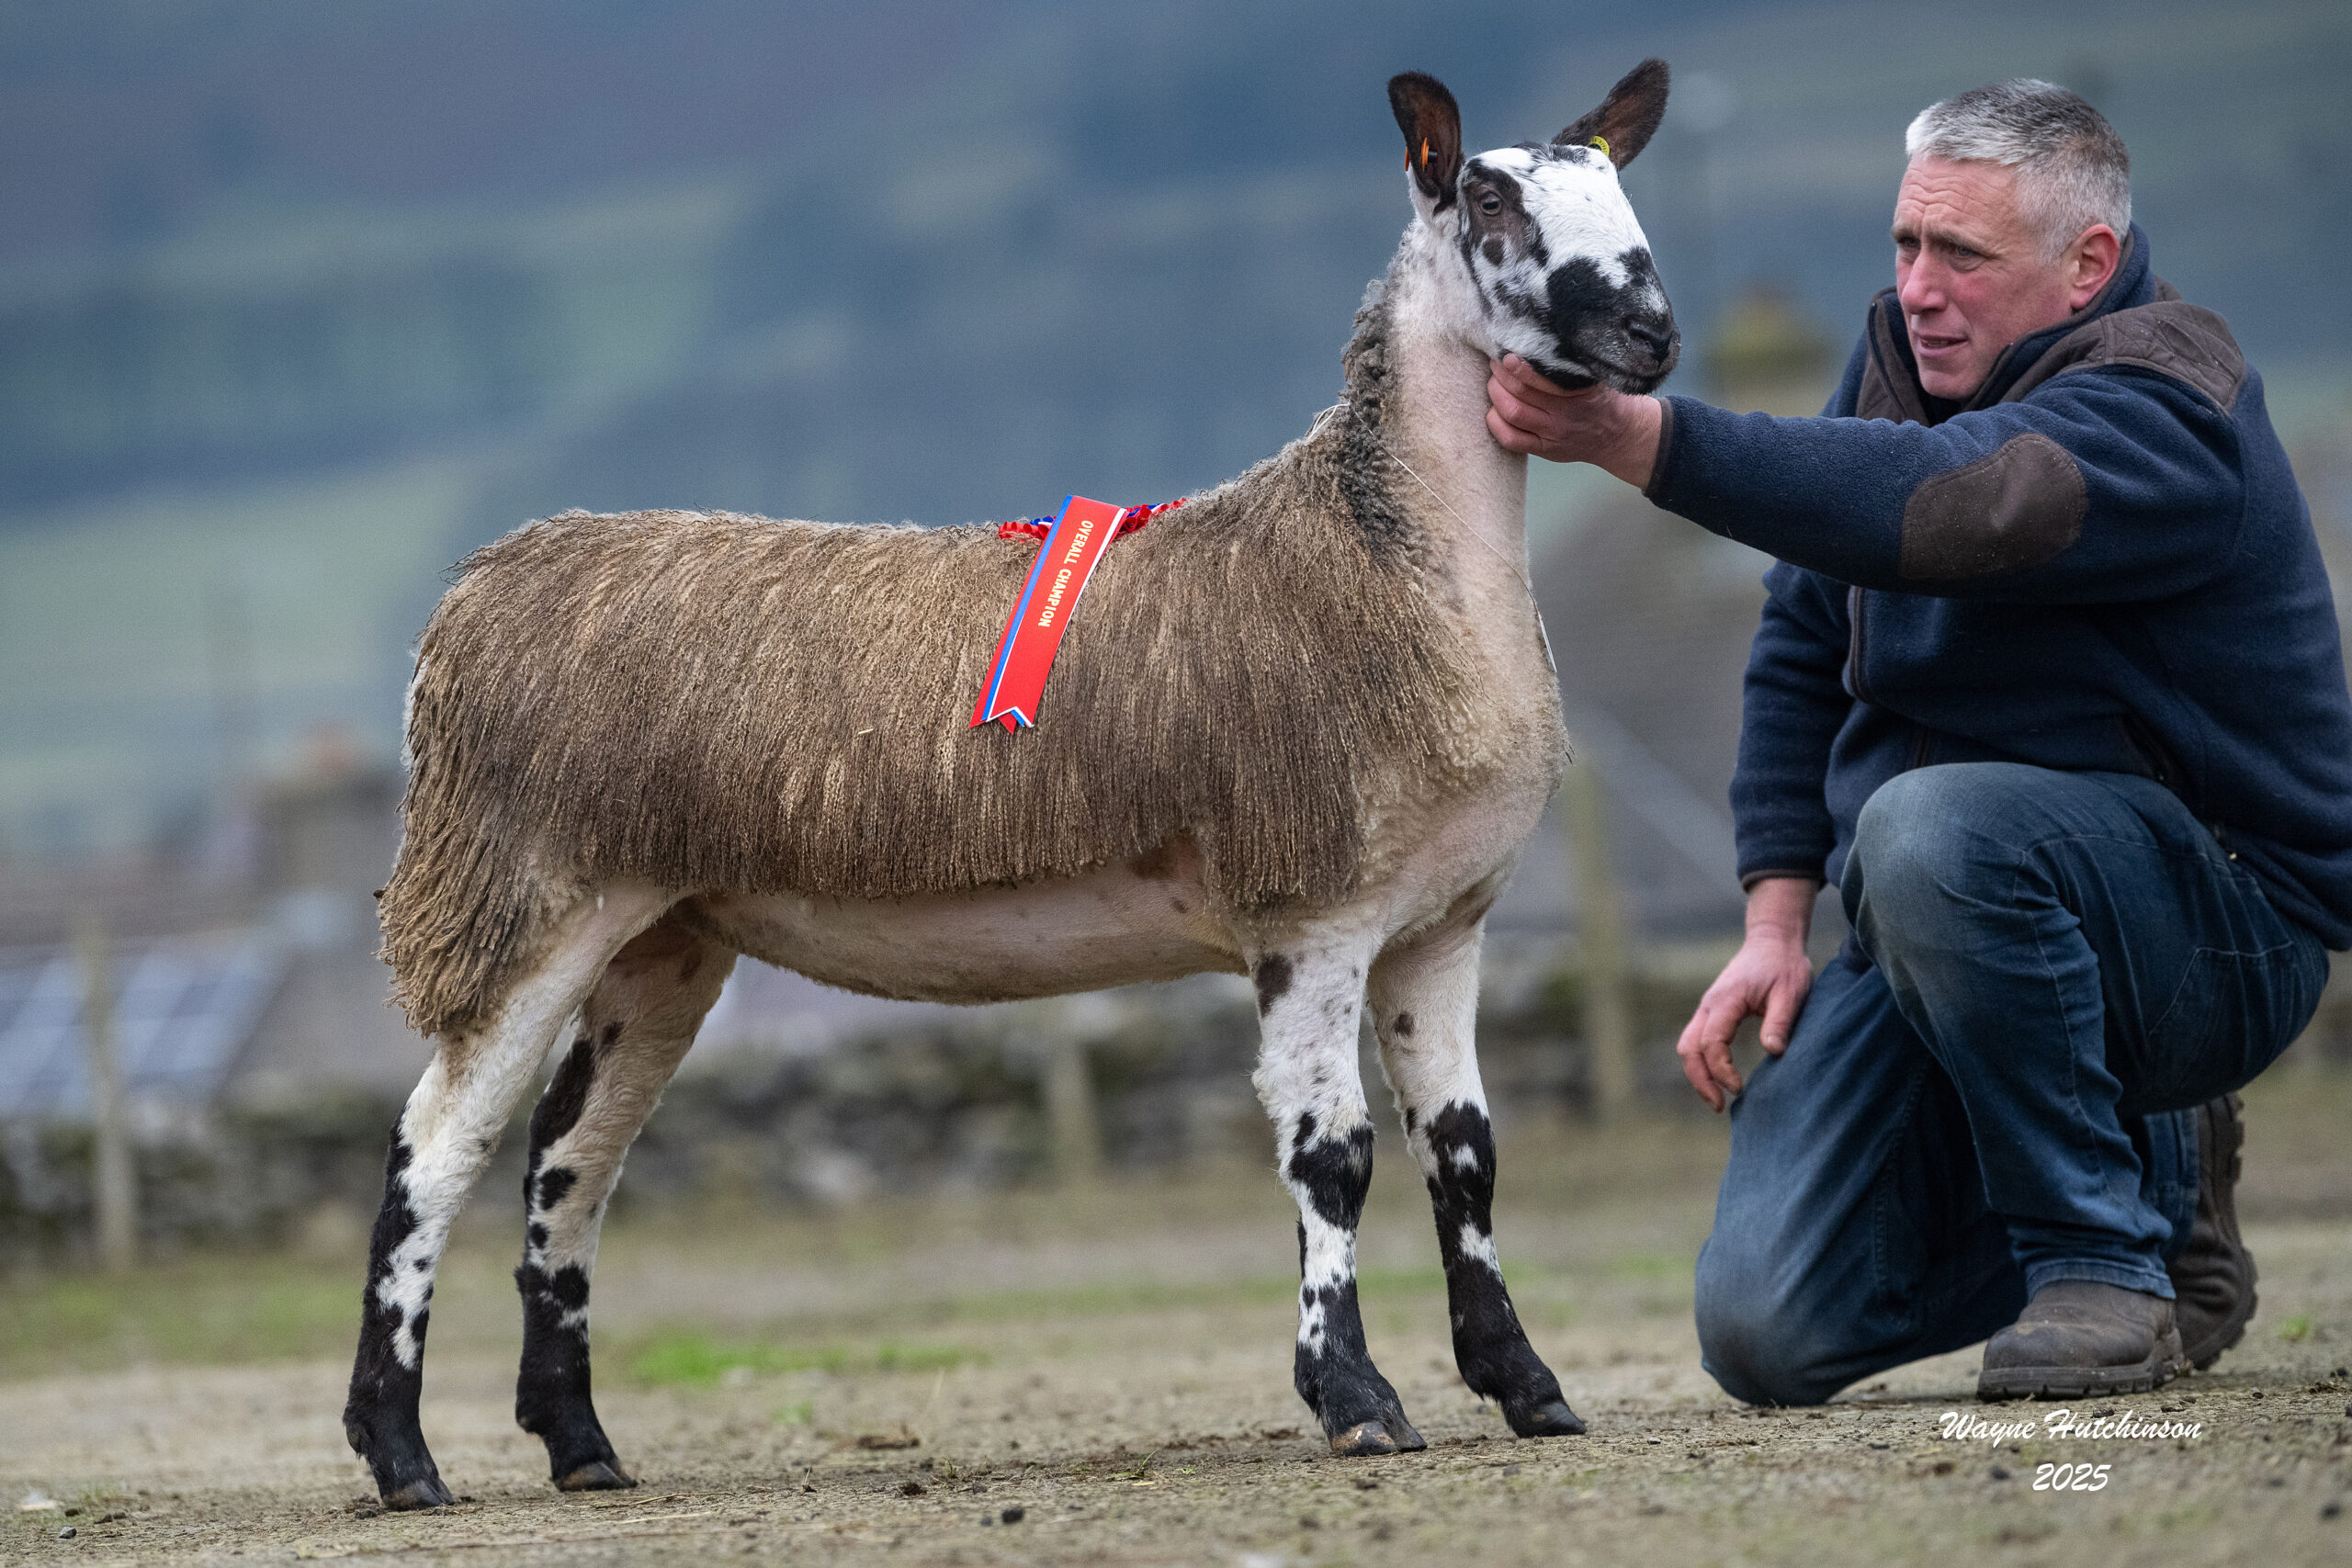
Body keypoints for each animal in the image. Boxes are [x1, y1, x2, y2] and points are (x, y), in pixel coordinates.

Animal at [343, 61, 1674, 1504]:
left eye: (1615, 185)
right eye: (1488, 201)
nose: (1653, 330)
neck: (1391, 559)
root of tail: (480, 587)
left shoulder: (1440, 921)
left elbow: (1466, 1155)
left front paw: (1526, 1383)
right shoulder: (1309, 912)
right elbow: (1334, 1159)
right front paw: (1358, 1399)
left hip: (662, 933)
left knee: (568, 1163)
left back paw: (580, 1443)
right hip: (529, 895)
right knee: (435, 1152)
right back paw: (400, 1451)